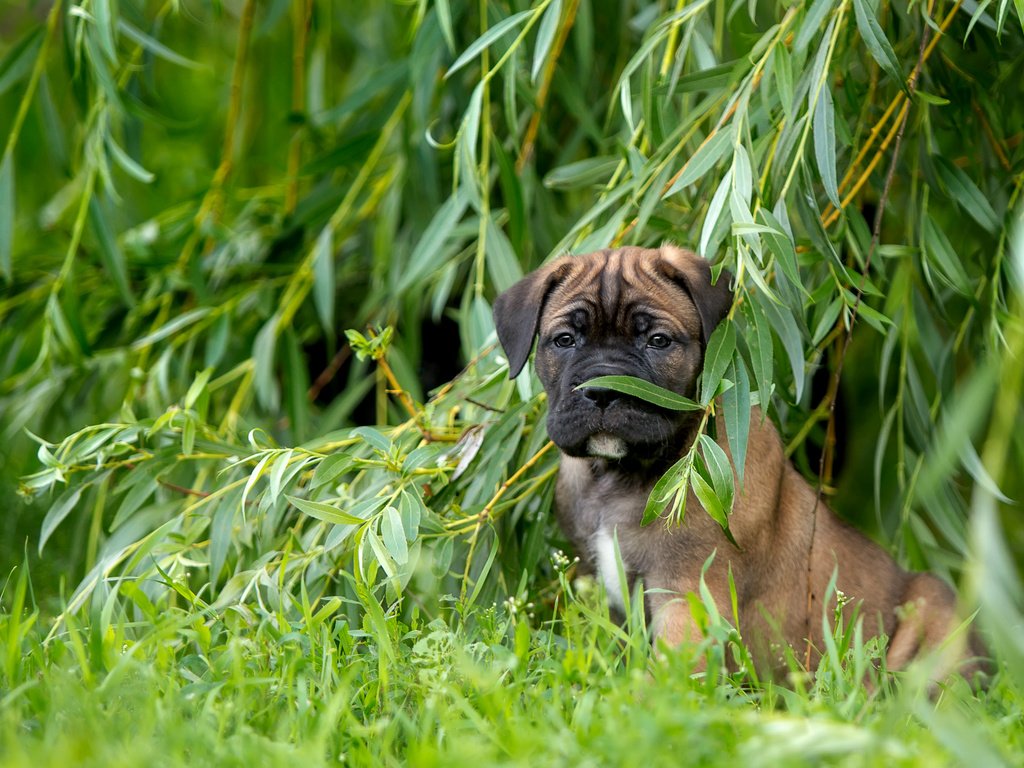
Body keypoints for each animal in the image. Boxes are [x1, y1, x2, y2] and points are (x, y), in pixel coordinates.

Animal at [491, 244, 987, 679]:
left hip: (933, 604)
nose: (602, 390)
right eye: (564, 340)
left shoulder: (686, 594)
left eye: (657, 341)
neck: (621, 475)